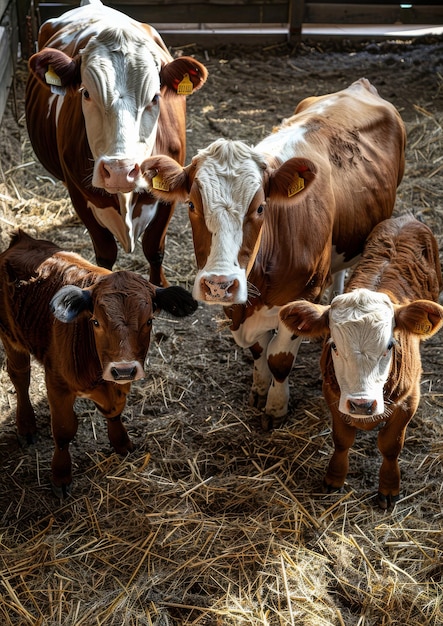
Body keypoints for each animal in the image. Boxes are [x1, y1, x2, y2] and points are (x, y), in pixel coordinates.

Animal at [0, 227, 198, 494]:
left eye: (149, 321)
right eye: (95, 322)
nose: (123, 369)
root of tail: (23, 239)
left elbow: (114, 411)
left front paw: (121, 442)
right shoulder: (57, 384)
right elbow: (63, 431)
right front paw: (61, 475)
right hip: (11, 338)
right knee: (20, 377)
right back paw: (26, 426)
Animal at [25, 0, 208, 286]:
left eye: (155, 97)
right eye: (86, 93)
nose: (120, 170)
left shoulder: (169, 194)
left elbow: (154, 249)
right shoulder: (79, 195)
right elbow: (105, 254)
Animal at [141, 78, 406, 426]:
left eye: (260, 208)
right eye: (192, 205)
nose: (219, 285)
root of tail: (359, 86)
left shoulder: (303, 293)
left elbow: (279, 358)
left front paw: (276, 407)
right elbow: (258, 350)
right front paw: (258, 388)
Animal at [280, 214, 443, 508]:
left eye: (390, 345)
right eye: (333, 345)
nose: (362, 404)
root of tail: (407, 218)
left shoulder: (410, 398)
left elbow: (390, 445)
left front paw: (389, 487)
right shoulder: (333, 393)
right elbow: (342, 439)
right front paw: (334, 478)